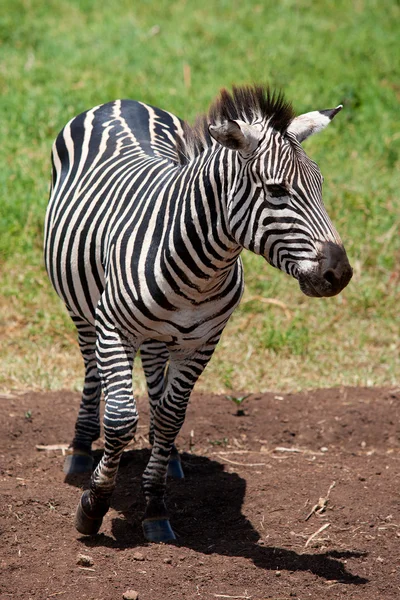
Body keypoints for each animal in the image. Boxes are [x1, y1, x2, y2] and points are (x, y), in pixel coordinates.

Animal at [43, 85, 354, 544]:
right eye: (276, 190)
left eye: (319, 185)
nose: (340, 273)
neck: (199, 272)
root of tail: (123, 101)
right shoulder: (112, 327)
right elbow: (119, 419)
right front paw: (93, 506)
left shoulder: (205, 341)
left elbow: (171, 416)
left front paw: (156, 503)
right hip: (81, 310)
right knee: (91, 371)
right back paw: (81, 449)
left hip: (162, 335)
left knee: (156, 378)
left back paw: (168, 456)